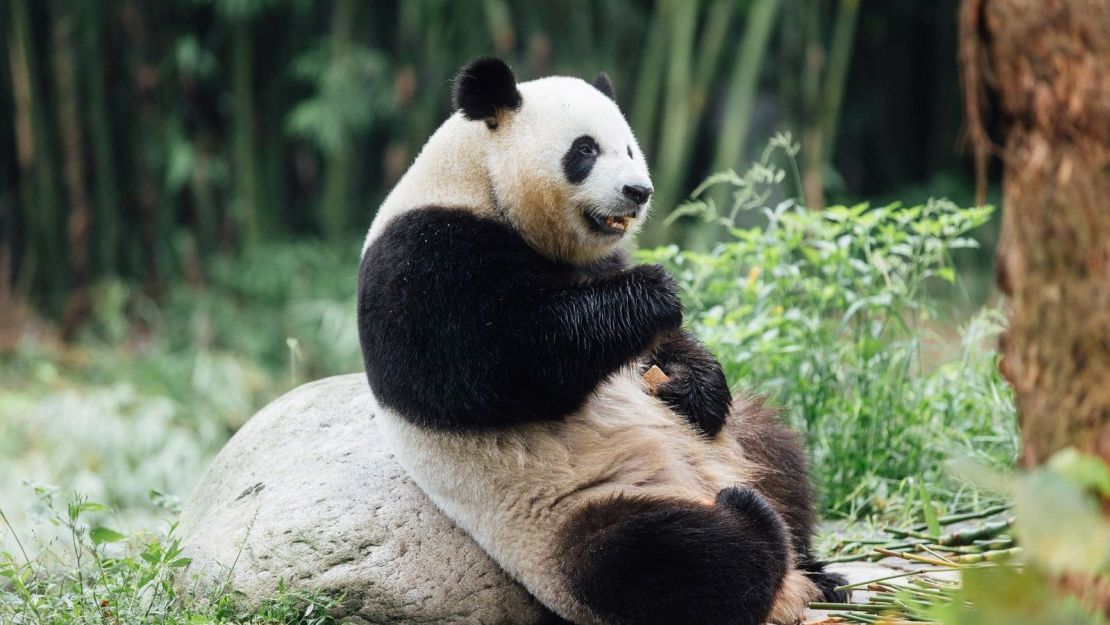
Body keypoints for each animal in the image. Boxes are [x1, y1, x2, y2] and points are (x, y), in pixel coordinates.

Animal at [359, 58, 843, 625]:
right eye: (585, 150)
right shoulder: (422, 257)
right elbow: (498, 364)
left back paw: (820, 571)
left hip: (736, 443)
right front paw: (654, 292)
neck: (479, 182)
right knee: (659, 558)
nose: (639, 191)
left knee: (778, 450)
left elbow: (659, 349)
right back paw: (750, 522)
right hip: (567, 518)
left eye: (630, 148)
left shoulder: (597, 257)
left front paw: (693, 384)